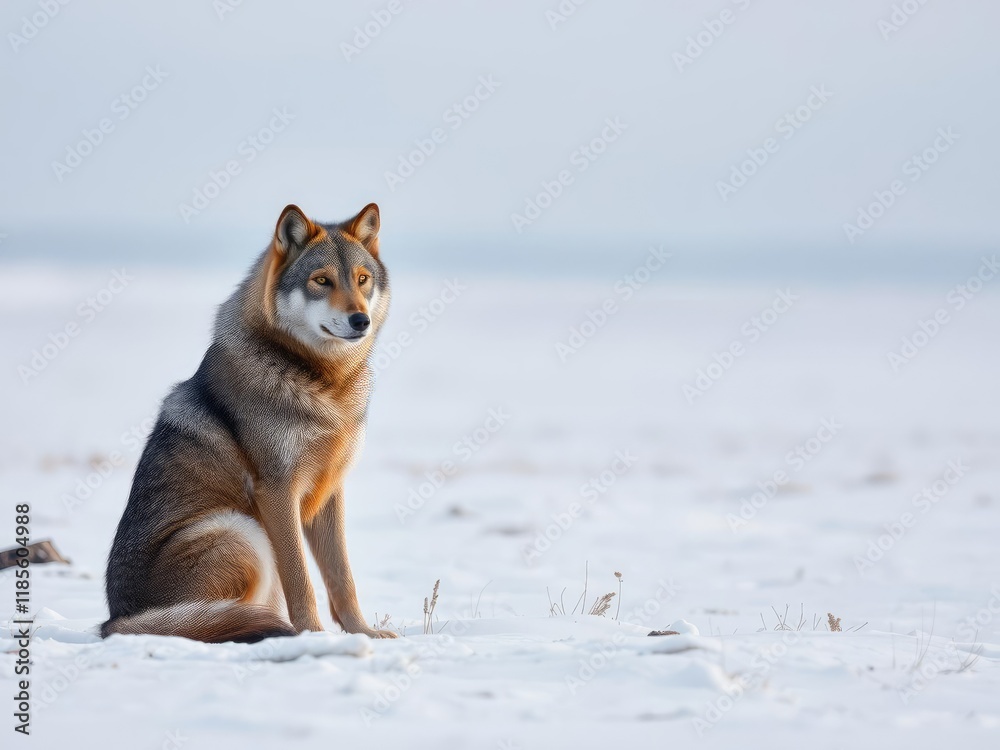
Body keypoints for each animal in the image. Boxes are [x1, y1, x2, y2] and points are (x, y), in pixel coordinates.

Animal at [101, 203, 397, 643]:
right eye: (321, 280)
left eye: (362, 280)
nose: (360, 320)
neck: (321, 384)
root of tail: (116, 620)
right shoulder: (276, 490)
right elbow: (301, 580)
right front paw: (313, 636)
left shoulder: (330, 490)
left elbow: (342, 577)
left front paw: (363, 633)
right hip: (242, 531)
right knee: (209, 622)